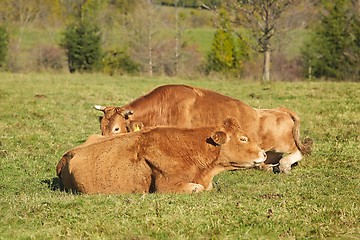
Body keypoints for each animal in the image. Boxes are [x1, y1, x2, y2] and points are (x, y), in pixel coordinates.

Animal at [95, 84, 312, 172]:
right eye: (102, 127)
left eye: (116, 129)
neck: (162, 109)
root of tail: (280, 109)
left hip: (281, 143)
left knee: (297, 151)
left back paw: (284, 165)